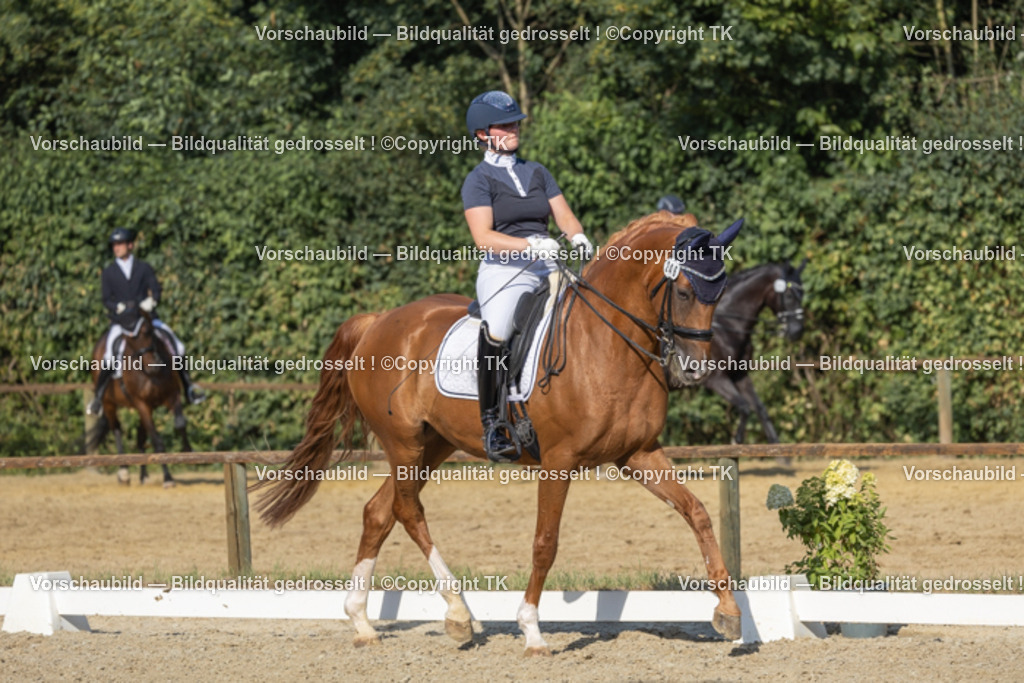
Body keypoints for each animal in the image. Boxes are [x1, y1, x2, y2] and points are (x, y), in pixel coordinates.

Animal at [85, 308, 190, 487]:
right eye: (128, 339)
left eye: (148, 332)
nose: (153, 367)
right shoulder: (142, 404)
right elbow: (157, 441)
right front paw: (168, 478)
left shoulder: (172, 395)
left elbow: (180, 423)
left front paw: (187, 452)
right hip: (109, 403)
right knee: (117, 429)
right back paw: (124, 472)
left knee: (140, 439)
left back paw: (143, 475)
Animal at [255, 211, 744, 655]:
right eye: (684, 291)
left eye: (720, 293)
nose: (695, 369)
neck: (606, 345)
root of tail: (378, 321)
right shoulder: (559, 461)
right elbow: (545, 542)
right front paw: (532, 631)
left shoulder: (638, 453)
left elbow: (697, 513)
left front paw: (729, 613)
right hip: (404, 443)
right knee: (407, 510)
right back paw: (457, 614)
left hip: (434, 444)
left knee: (379, 511)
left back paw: (362, 622)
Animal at [703, 260, 806, 445]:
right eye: (789, 296)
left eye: (802, 294)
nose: (797, 332)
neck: (728, 326)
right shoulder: (715, 379)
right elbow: (745, 407)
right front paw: (736, 440)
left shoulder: (739, 375)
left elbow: (759, 408)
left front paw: (777, 447)